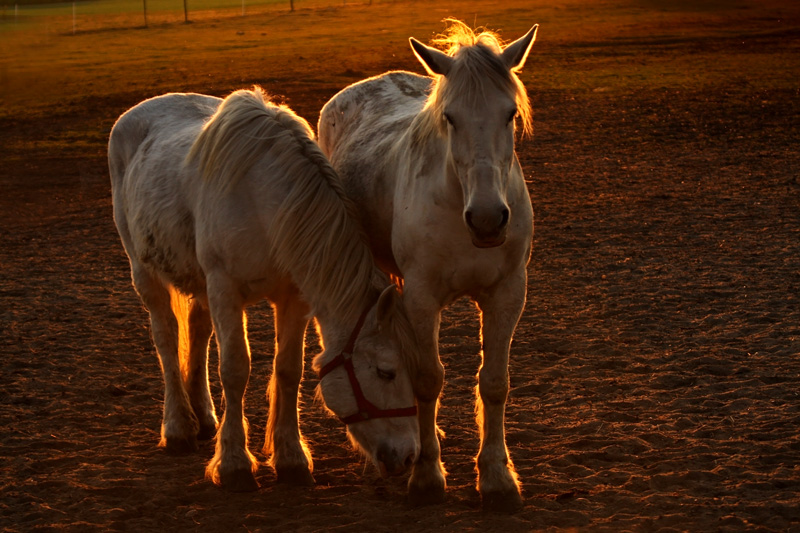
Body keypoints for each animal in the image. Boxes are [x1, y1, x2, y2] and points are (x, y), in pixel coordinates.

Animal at [110, 86, 422, 490]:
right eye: (387, 372)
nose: (408, 455)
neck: (264, 201)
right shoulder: (225, 289)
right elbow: (235, 369)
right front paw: (234, 464)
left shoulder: (294, 297)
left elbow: (289, 369)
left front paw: (290, 458)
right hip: (145, 272)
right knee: (165, 340)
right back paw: (178, 427)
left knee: (197, 331)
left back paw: (203, 416)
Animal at [318, 20, 536, 510]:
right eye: (450, 117)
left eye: (510, 114)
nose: (488, 219)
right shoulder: (420, 297)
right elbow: (426, 379)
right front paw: (427, 477)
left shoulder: (508, 293)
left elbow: (494, 382)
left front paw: (497, 479)